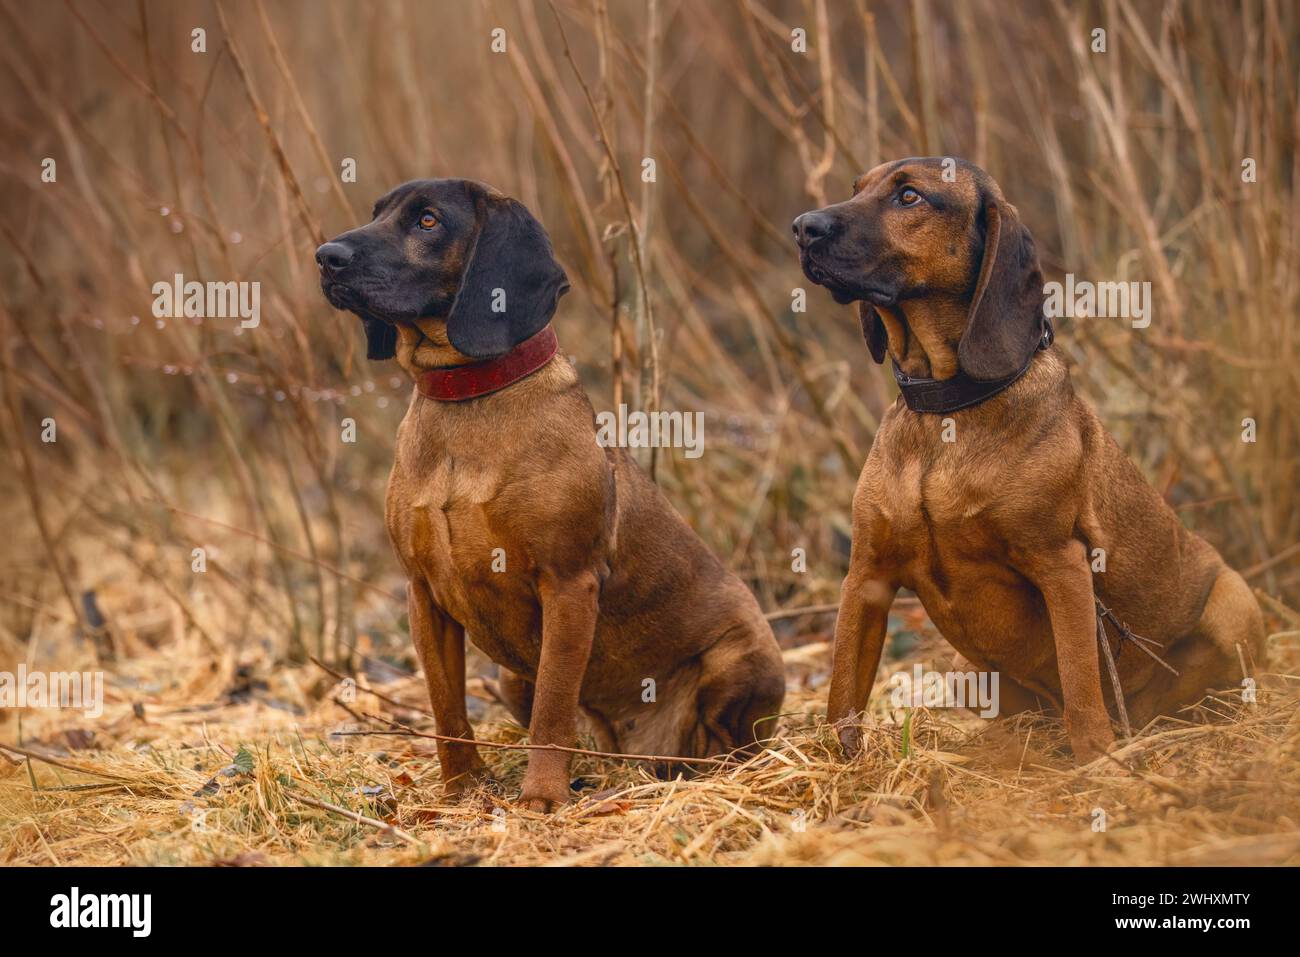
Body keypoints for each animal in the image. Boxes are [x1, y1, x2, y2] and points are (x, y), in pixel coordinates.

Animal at [314, 178, 780, 806]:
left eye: (428, 220)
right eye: (377, 213)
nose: (326, 257)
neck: (467, 400)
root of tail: (631, 750)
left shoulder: (568, 585)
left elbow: (553, 709)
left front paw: (541, 798)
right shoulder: (423, 594)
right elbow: (446, 708)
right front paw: (461, 791)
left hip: (741, 656)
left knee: (725, 743)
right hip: (513, 676)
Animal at [795, 157, 1263, 764]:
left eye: (909, 196)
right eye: (855, 188)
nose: (802, 227)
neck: (947, 411)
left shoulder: (1061, 565)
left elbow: (1082, 687)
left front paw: (1098, 762)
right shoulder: (866, 577)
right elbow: (842, 693)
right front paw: (837, 761)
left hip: (1234, 601)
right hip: (962, 670)